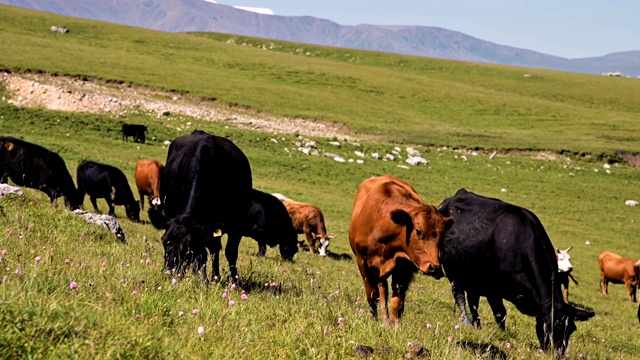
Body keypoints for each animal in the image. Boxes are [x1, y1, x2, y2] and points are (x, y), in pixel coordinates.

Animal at [148, 130, 252, 284]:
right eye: (164, 241)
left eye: (187, 248)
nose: (168, 273)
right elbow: (204, 254)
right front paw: (204, 278)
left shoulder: (236, 225)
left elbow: (230, 252)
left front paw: (235, 282)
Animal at [348, 174, 452, 324]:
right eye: (418, 231)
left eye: (442, 236)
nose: (435, 268)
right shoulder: (362, 262)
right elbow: (372, 295)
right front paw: (373, 320)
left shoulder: (403, 267)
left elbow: (397, 303)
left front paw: (396, 326)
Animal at [440, 188, 596, 358]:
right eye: (552, 325)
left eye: (571, 330)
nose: (559, 354)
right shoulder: (493, 287)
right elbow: (500, 313)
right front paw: (501, 334)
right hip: (454, 271)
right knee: (460, 296)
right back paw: (467, 323)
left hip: (473, 277)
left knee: (473, 301)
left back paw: (477, 325)